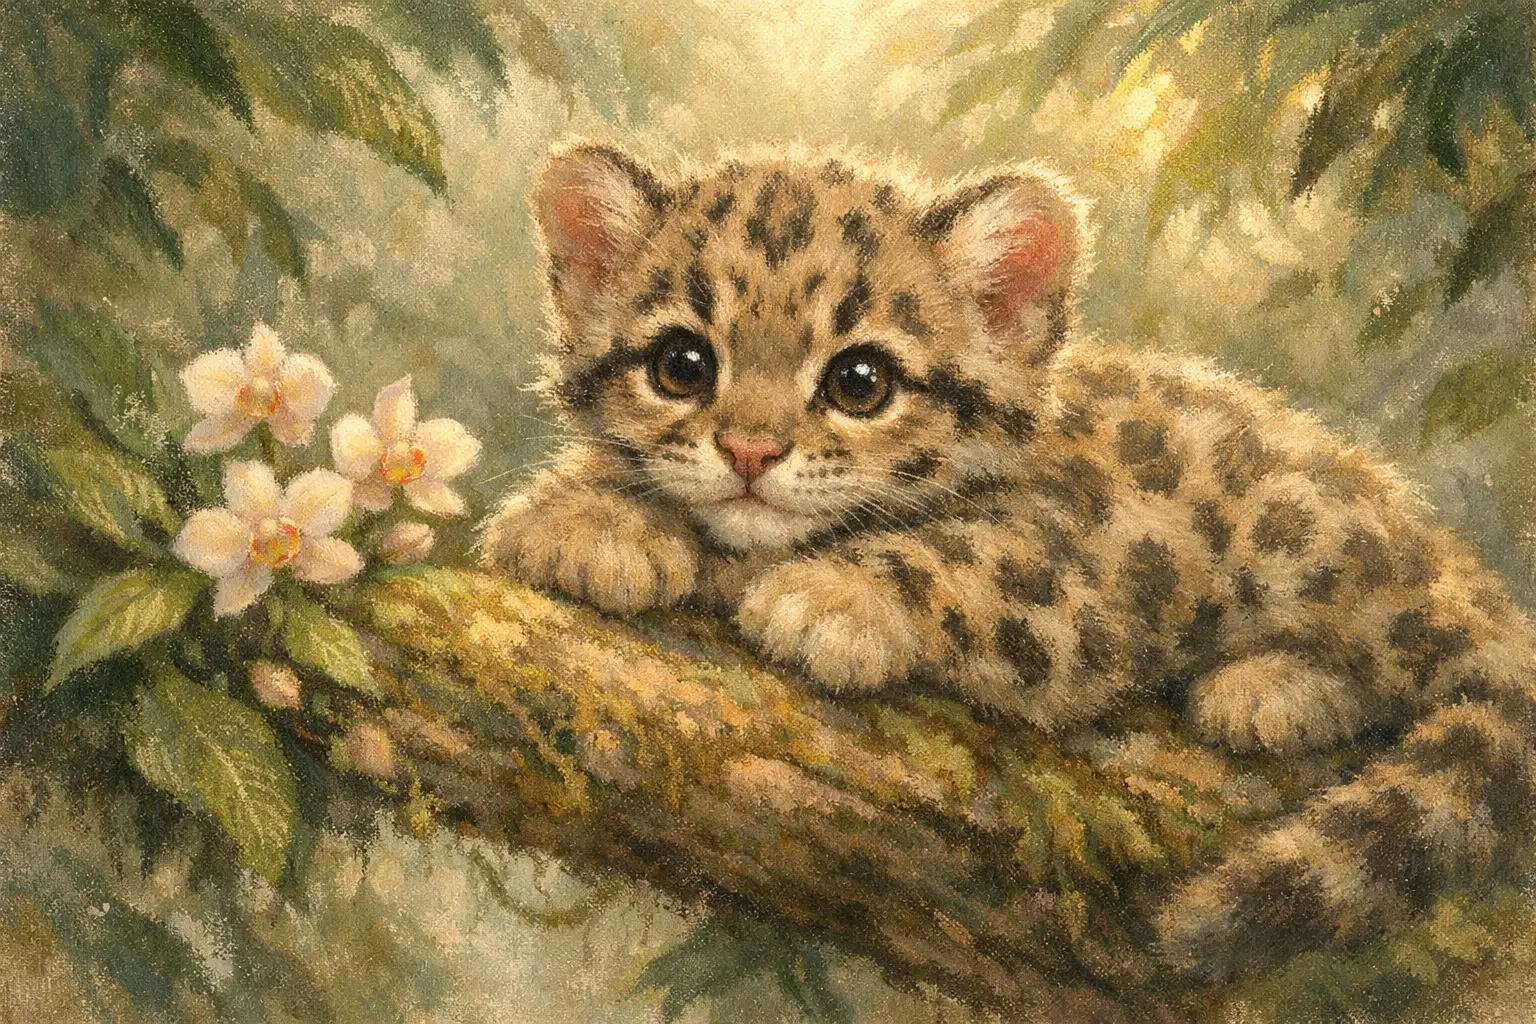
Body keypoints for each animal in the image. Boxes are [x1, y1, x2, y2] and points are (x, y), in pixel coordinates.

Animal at [482, 139, 1536, 984]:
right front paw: (583, 516)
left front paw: (827, 594)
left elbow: (956, 558)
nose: (749, 452)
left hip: (1312, 541)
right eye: (682, 364)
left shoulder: (1077, 586)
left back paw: (1274, 687)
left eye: (860, 381)